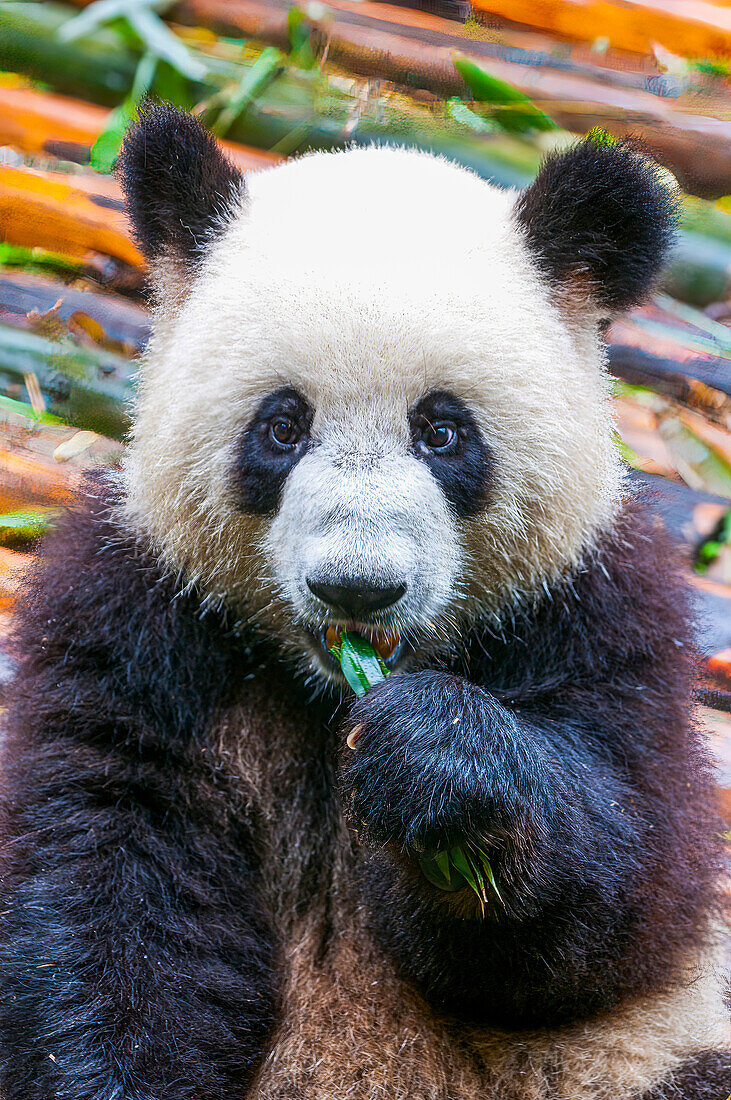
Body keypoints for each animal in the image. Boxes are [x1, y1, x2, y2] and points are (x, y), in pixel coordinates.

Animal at [1, 105, 729, 1100]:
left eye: (442, 431)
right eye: (281, 426)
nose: (357, 585)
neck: (327, 697)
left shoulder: (597, 606)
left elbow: (630, 889)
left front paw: (438, 762)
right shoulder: (135, 615)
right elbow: (107, 877)